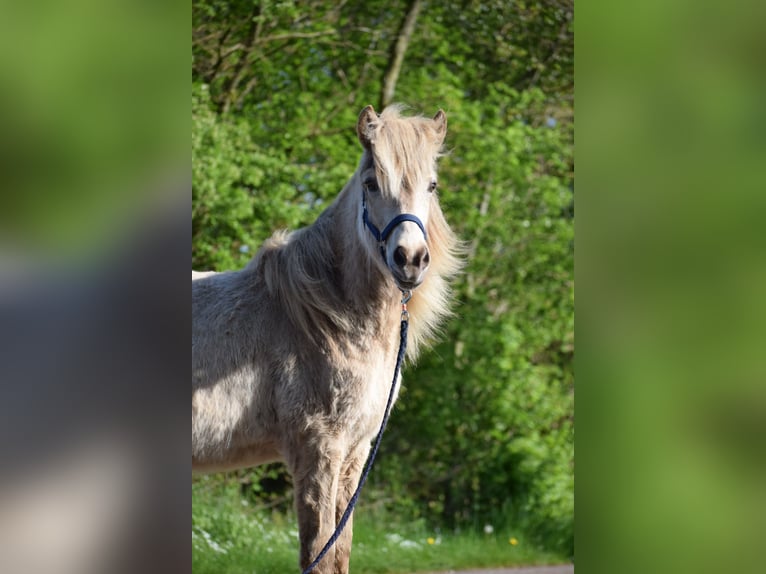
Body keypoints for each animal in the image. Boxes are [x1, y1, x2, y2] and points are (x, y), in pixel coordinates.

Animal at [195, 106, 464, 572]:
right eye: (372, 182)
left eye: (432, 185)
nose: (410, 260)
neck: (323, 318)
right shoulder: (319, 449)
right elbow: (318, 552)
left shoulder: (355, 453)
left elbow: (339, 552)